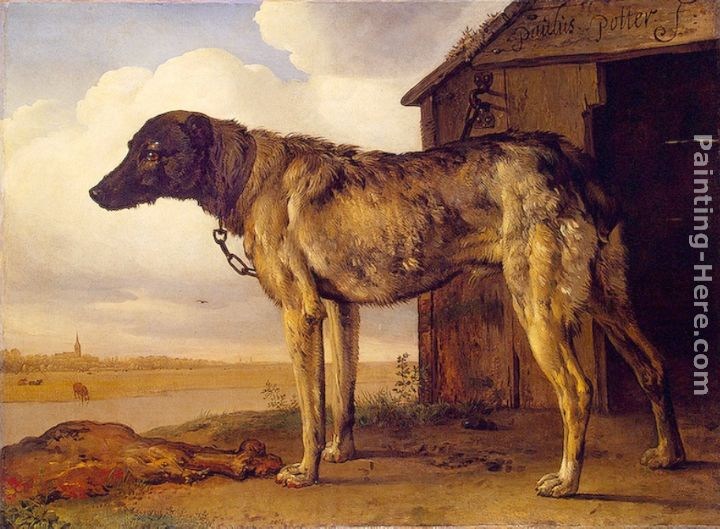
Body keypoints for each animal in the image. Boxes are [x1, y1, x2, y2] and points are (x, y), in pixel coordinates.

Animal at [90, 110, 685, 497]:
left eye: (151, 152)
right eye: (128, 147)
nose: (94, 192)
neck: (251, 172)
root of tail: (565, 153)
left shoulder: (299, 312)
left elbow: (310, 409)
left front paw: (306, 471)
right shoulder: (337, 311)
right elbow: (341, 395)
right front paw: (341, 453)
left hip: (538, 307)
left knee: (577, 390)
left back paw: (568, 481)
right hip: (605, 298)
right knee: (655, 366)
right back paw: (670, 456)